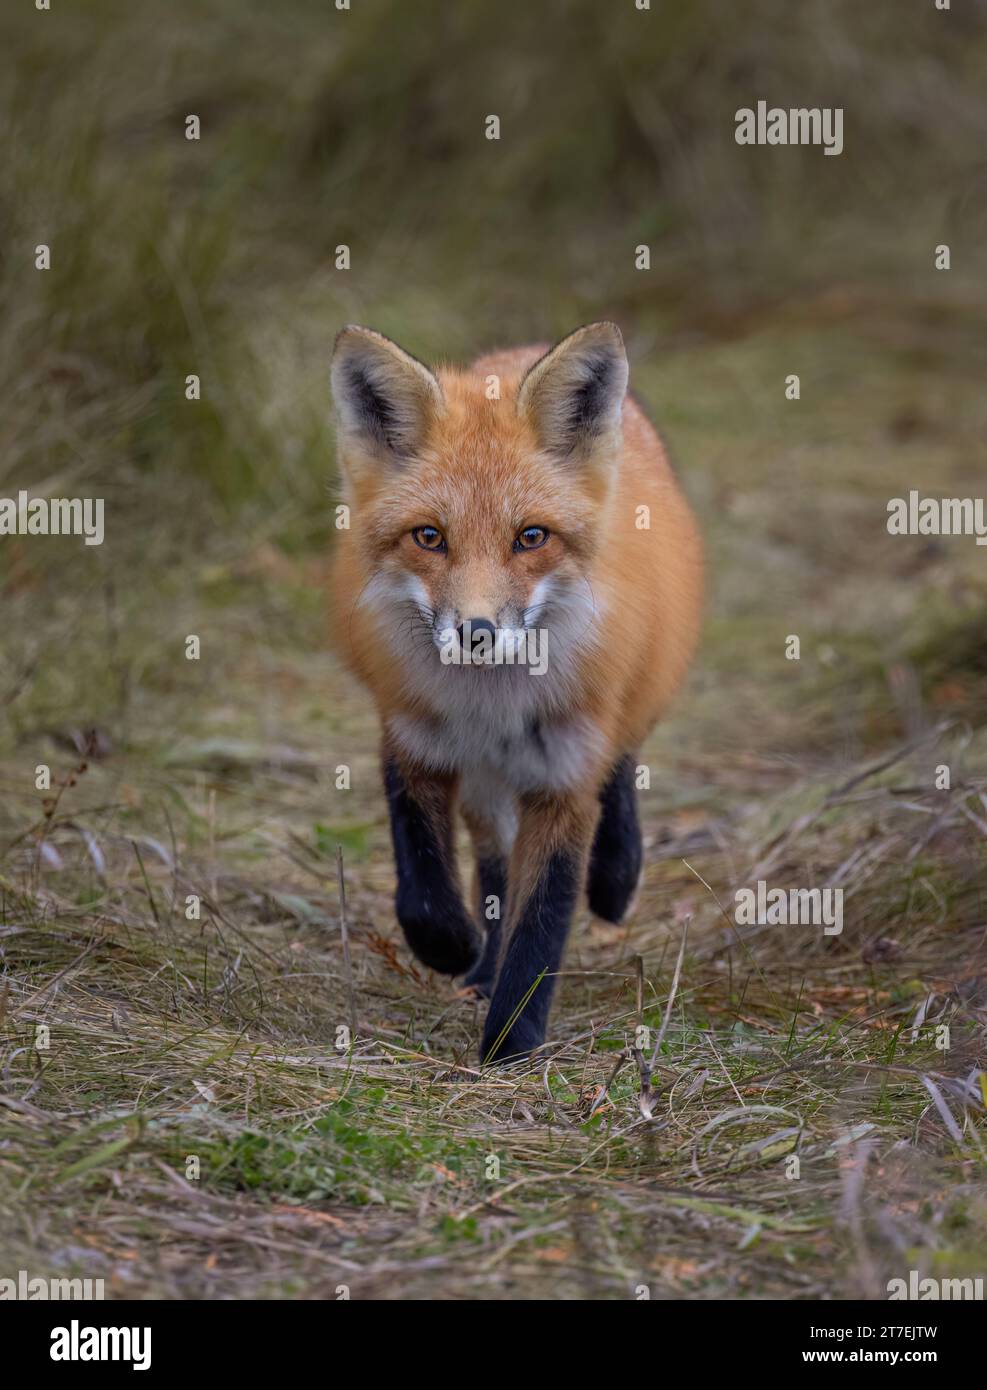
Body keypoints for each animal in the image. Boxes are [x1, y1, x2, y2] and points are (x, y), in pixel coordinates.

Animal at [332, 322, 703, 1061]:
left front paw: (510, 1044)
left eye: (530, 537)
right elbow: (424, 886)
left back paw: (616, 878)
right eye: (429, 537)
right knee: (493, 864)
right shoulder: (412, 741)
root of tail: (520, 349)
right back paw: (479, 966)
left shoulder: (562, 780)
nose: (475, 633)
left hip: (621, 702)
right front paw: (454, 949)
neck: (492, 708)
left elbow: (541, 921)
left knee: (621, 767)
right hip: (485, 785)